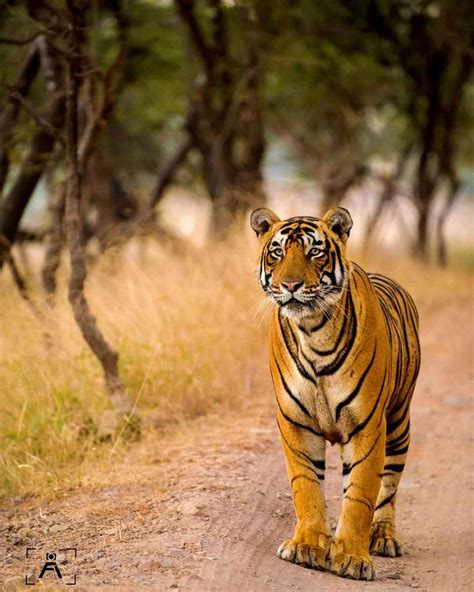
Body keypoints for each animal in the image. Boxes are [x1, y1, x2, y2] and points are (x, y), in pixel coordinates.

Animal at [250, 206, 420, 580]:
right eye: (277, 252)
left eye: (315, 251)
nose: (291, 285)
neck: (312, 330)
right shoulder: (295, 422)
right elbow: (306, 485)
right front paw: (306, 546)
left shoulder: (368, 425)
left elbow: (361, 493)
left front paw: (353, 558)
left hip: (399, 421)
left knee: (388, 486)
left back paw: (383, 537)